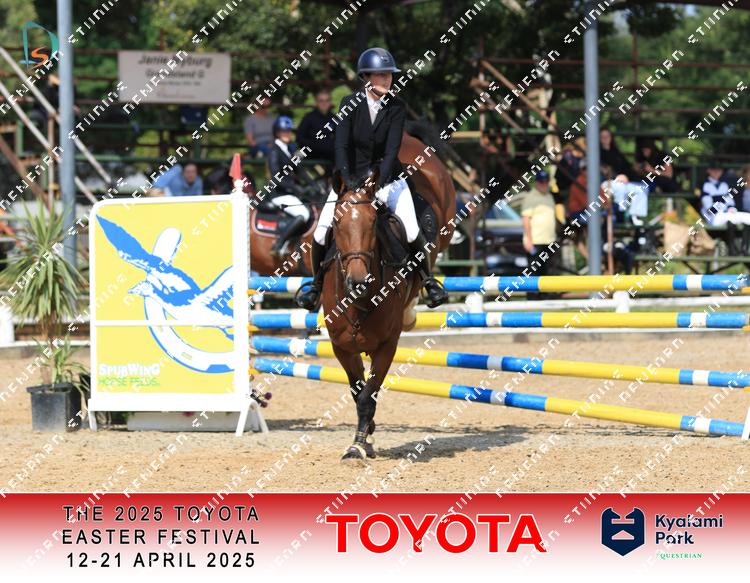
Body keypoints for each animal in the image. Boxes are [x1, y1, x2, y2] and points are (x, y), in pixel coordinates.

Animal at [320, 133, 456, 461]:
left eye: (373, 222)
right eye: (337, 223)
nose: (358, 281)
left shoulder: (387, 347)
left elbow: (368, 396)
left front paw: (358, 444)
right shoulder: (342, 347)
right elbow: (358, 393)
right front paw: (364, 437)